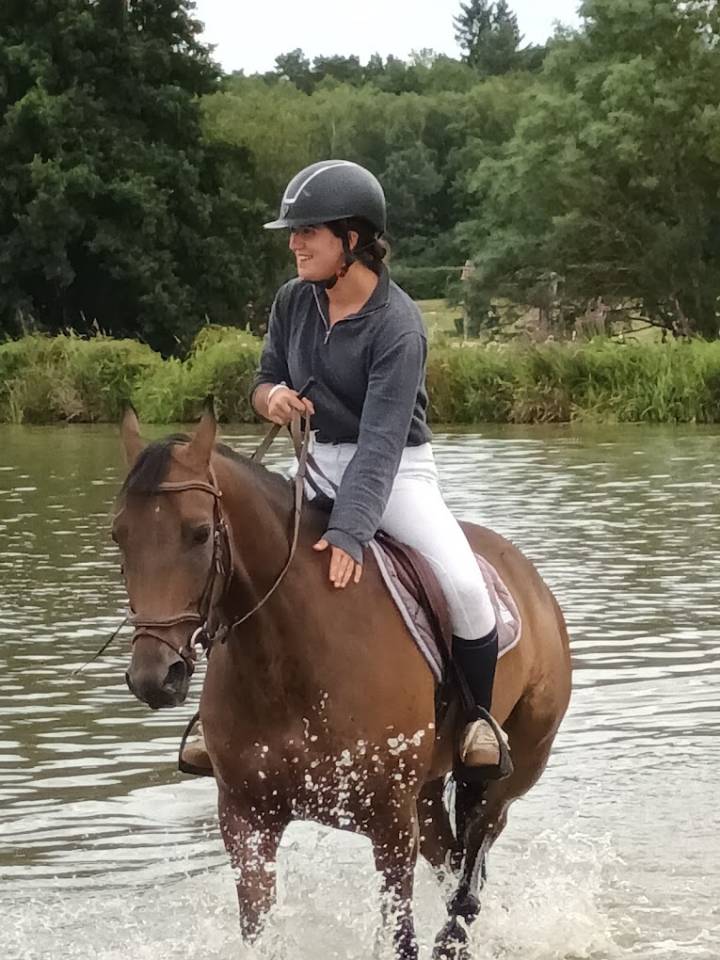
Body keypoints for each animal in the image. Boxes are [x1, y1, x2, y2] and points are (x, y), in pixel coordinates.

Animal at [116, 405, 572, 960]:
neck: (288, 664)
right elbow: (257, 928)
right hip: (427, 792)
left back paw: (455, 935)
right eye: (119, 535)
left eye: (199, 532)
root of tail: (531, 579)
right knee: (452, 860)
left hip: (514, 770)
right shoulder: (246, 820)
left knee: (473, 862)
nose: (153, 677)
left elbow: (401, 935)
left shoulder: (391, 825)